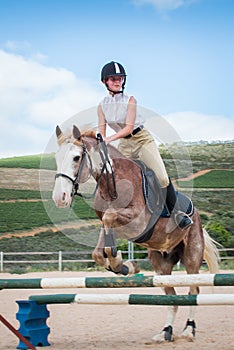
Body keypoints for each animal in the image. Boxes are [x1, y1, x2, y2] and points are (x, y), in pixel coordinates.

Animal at [52, 124, 218, 344]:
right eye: (56, 157)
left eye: (76, 157)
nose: (59, 198)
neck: (111, 182)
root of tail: (196, 214)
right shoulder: (109, 222)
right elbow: (99, 250)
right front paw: (123, 266)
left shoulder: (138, 222)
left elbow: (109, 221)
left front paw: (120, 262)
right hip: (161, 264)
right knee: (171, 296)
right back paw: (165, 332)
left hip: (191, 256)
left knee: (194, 290)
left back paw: (189, 330)